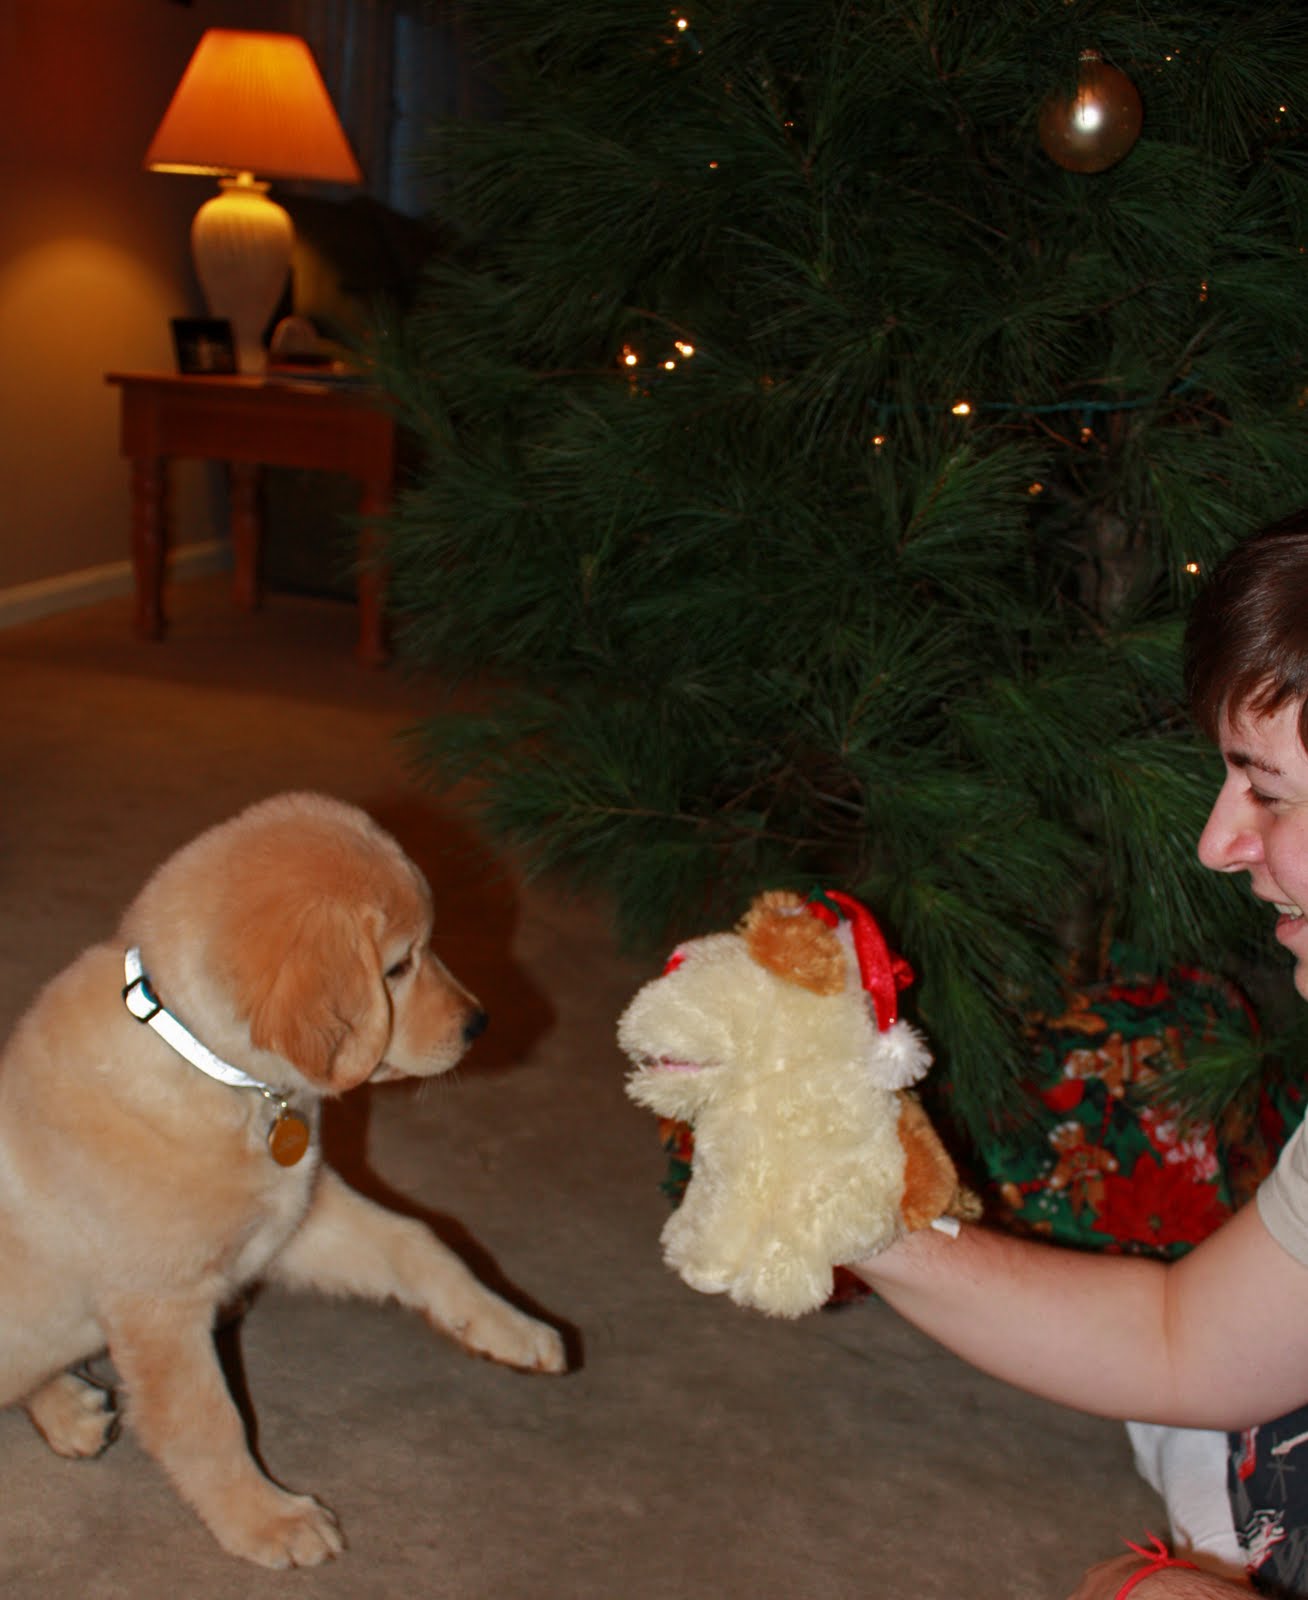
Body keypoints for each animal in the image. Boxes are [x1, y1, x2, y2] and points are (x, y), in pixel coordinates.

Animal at [0, 792, 566, 1567]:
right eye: (397, 966)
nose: (480, 1024)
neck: (218, 1073)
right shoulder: (160, 1307)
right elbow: (207, 1423)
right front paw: (267, 1519)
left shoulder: (297, 1215)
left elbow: (420, 1241)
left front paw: (510, 1324)